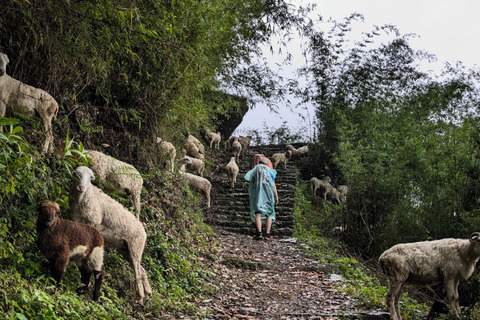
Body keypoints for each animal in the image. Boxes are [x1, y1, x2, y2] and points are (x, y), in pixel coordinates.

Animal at [69, 166, 151, 304]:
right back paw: (148, 294)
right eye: (77, 174)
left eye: (90, 178)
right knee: (142, 270)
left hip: (136, 247)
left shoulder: (93, 221)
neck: (87, 195)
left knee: (138, 274)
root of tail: (144, 231)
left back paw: (140, 298)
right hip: (126, 250)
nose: (81, 187)